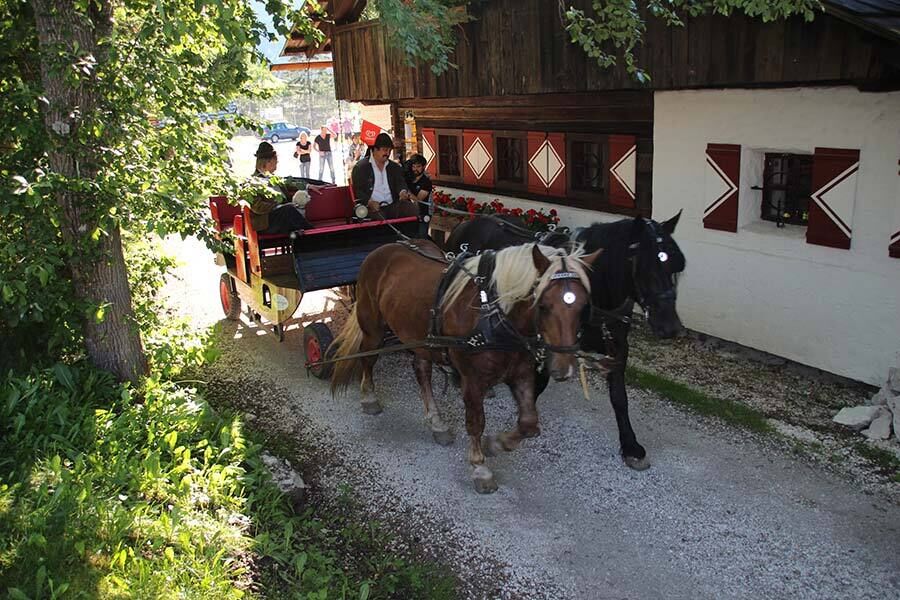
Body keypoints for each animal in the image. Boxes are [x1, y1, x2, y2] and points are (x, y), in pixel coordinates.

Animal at [328, 239, 596, 492]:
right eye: (543, 305)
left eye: (584, 306)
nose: (563, 368)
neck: (494, 315)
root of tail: (383, 249)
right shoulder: (473, 380)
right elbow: (476, 422)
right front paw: (480, 468)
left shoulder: (521, 373)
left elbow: (529, 424)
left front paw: (497, 444)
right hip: (373, 327)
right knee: (368, 358)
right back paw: (369, 398)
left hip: (422, 339)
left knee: (421, 370)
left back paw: (437, 423)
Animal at [446, 213, 684, 472]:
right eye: (644, 264)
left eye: (676, 266)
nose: (671, 327)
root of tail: (467, 221)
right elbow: (537, 386)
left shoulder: (618, 346)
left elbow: (620, 397)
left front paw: (631, 446)